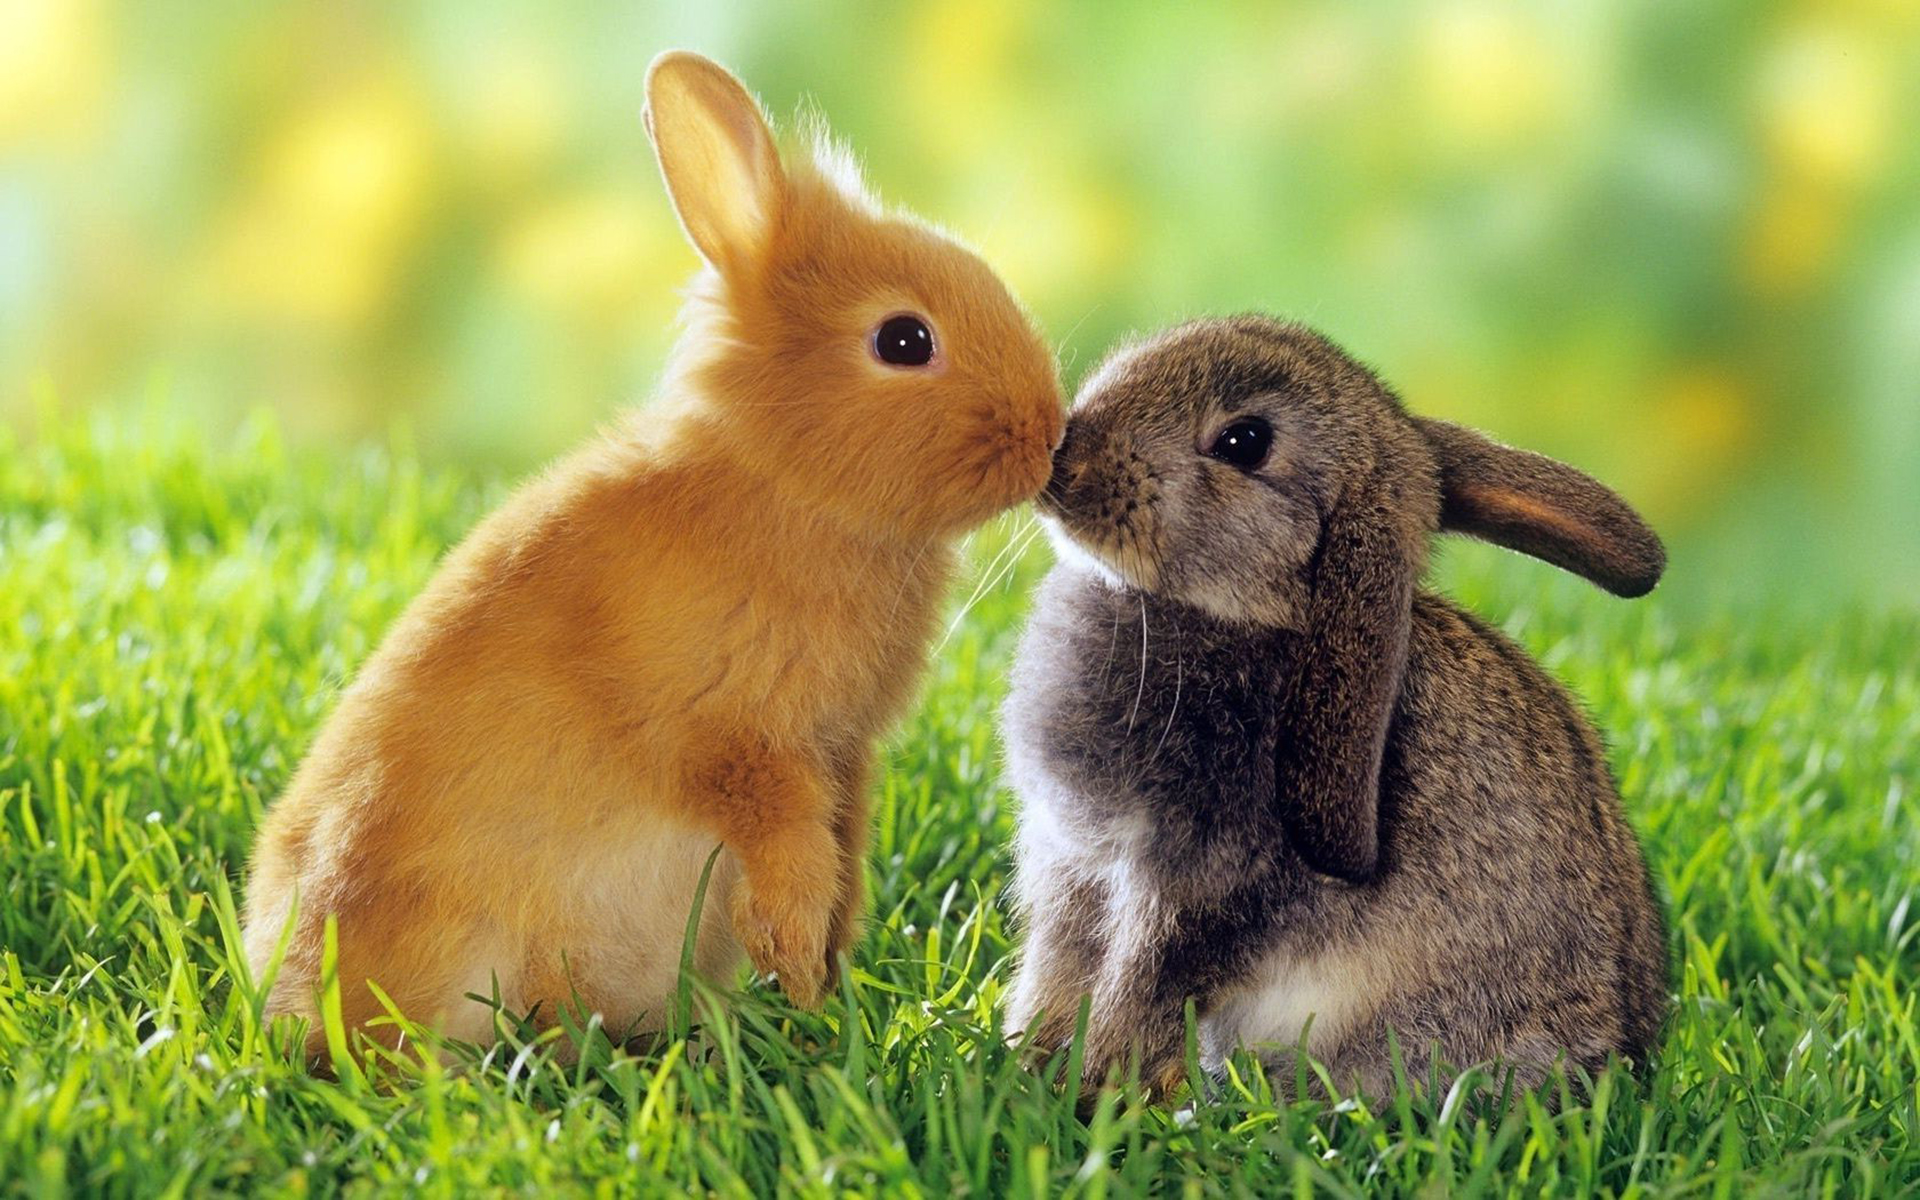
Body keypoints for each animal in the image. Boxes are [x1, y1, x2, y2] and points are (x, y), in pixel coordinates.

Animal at [242, 50, 1063, 1062]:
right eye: (904, 339)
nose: (1049, 436)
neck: (783, 486)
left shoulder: (843, 758)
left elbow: (844, 857)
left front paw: (826, 983)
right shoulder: (739, 745)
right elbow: (789, 854)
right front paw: (799, 974)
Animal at [1000, 315, 1669, 1102]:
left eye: (1245, 442)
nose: (1064, 461)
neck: (1257, 614)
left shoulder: (1198, 888)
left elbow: (1140, 990)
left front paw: (1087, 1088)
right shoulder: (1074, 868)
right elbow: (1057, 974)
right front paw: (1025, 1064)